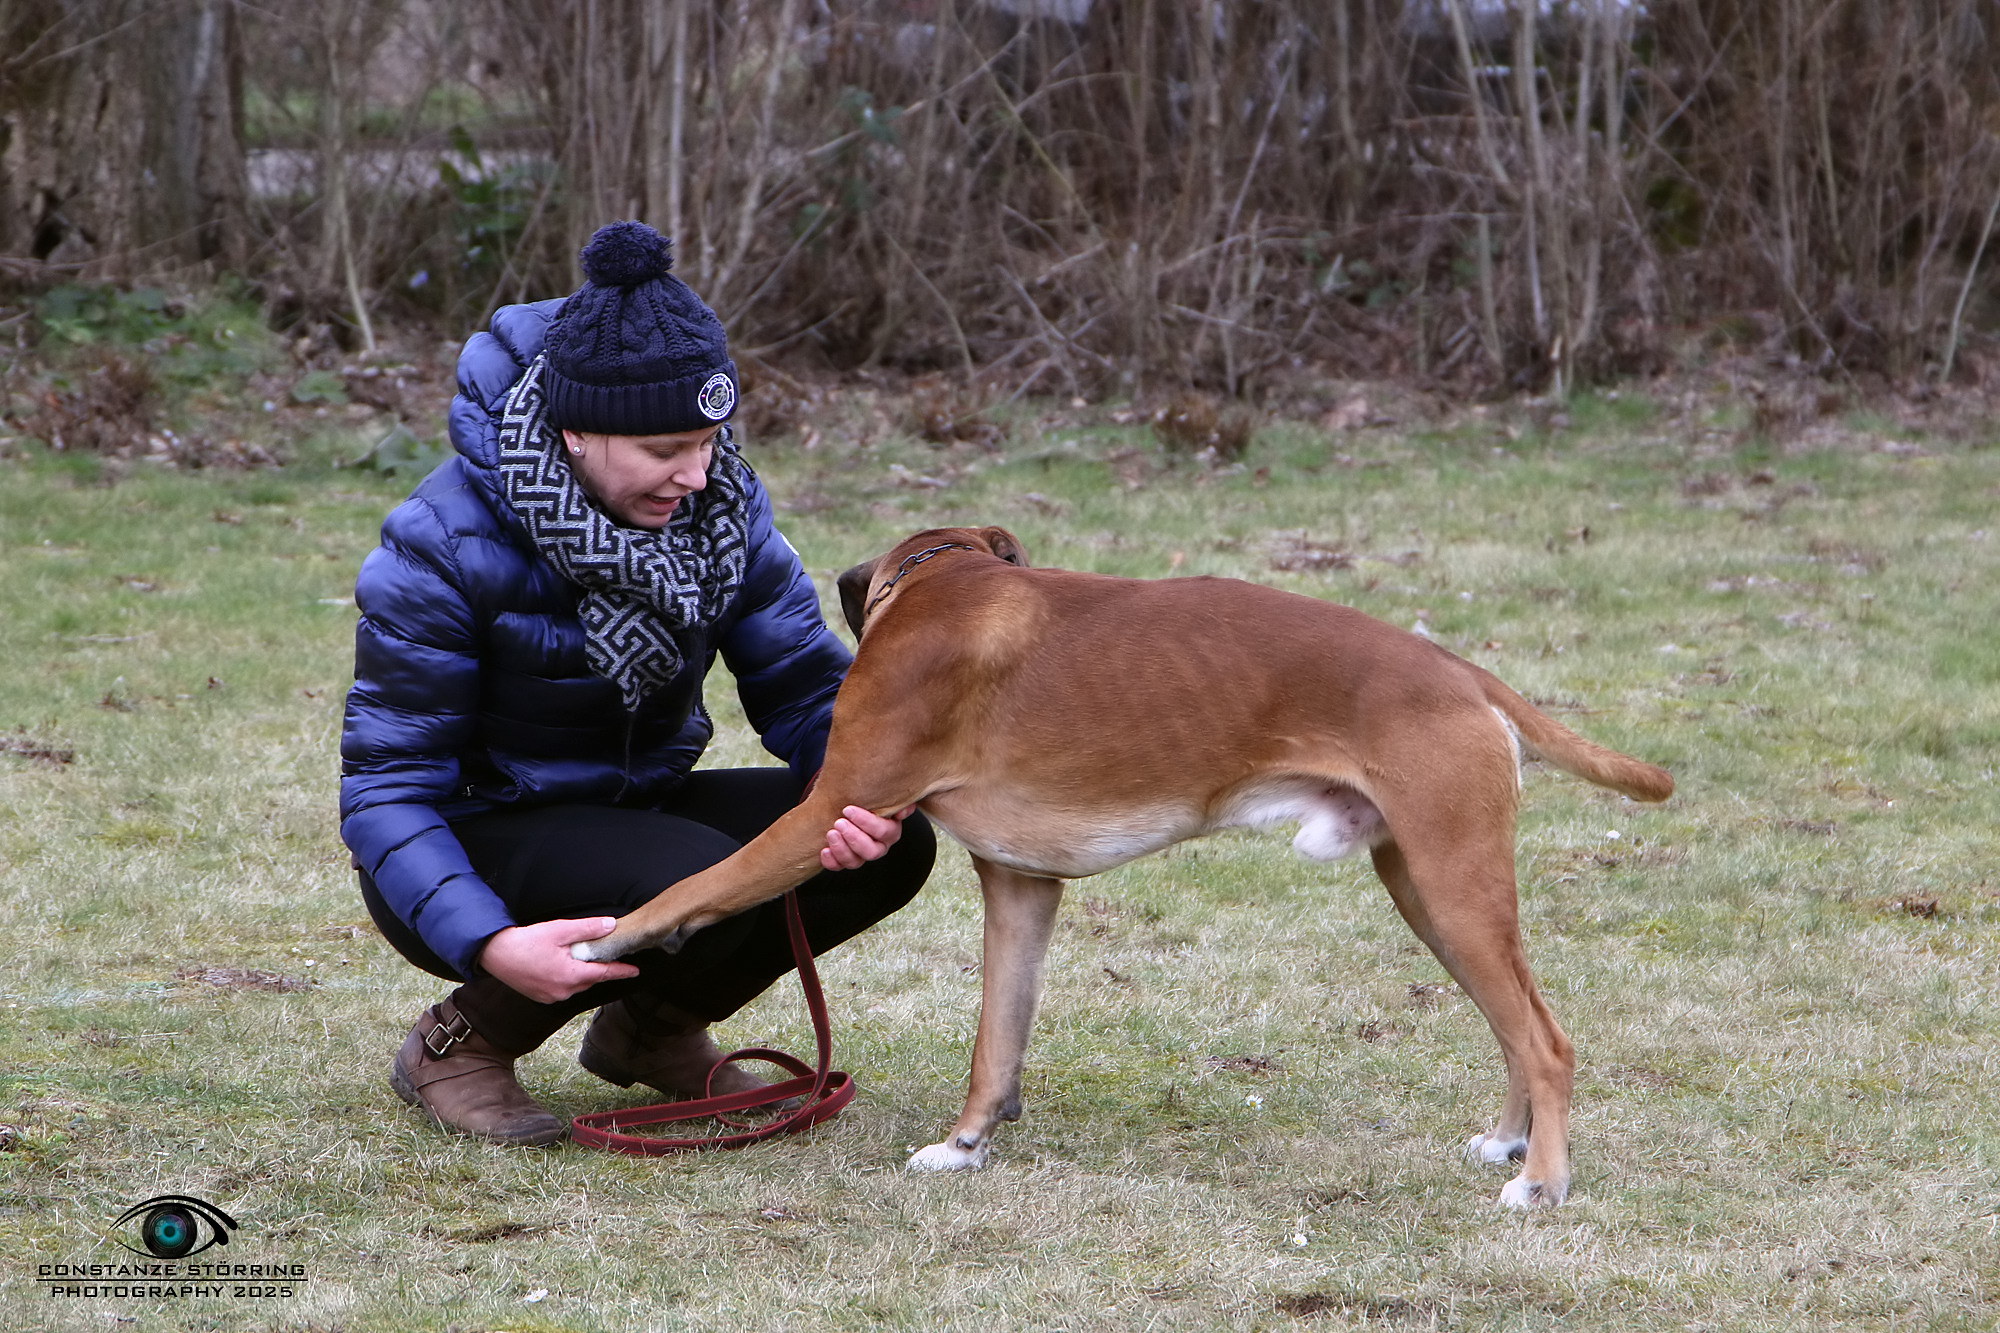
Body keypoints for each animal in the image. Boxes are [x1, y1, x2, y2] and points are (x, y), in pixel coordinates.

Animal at [575, 526, 1673, 1207]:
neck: (945, 576)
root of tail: (1456, 669)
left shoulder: (819, 816)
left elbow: (695, 886)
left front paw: (604, 939)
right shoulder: (1020, 888)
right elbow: (997, 1036)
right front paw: (967, 1141)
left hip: (1454, 886)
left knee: (1545, 1040)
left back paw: (1540, 1181)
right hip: (1429, 894)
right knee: (1514, 1028)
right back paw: (1510, 1141)